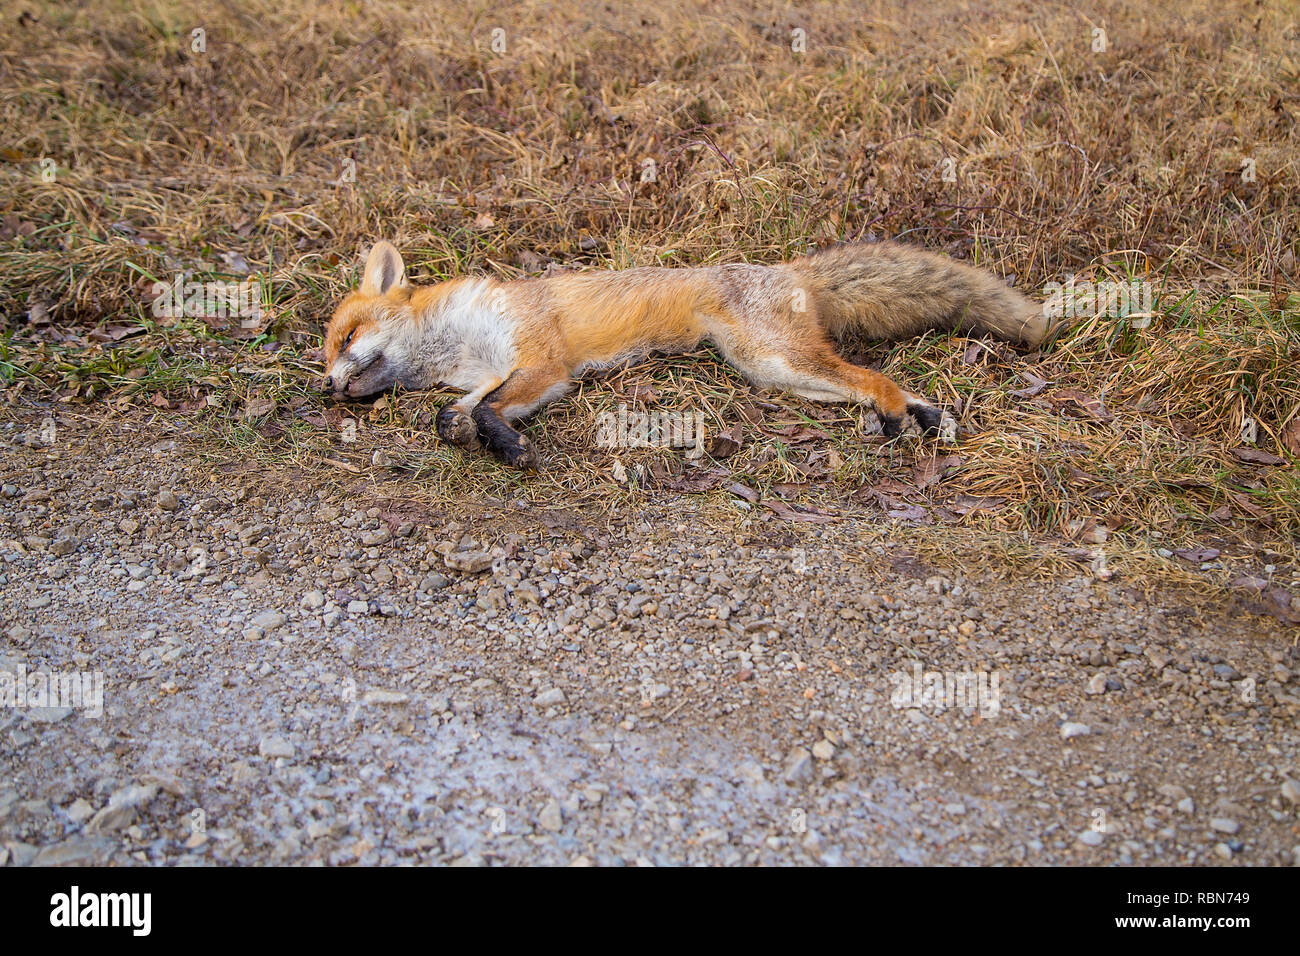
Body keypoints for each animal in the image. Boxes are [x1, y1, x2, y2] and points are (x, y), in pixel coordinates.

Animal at [325, 240, 1045, 468]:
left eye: (345, 340)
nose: (329, 388)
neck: (459, 340)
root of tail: (791, 270)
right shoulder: (502, 370)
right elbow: (458, 410)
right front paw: (462, 428)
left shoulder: (542, 359)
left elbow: (485, 410)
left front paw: (506, 446)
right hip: (773, 371)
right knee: (874, 382)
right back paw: (928, 416)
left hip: (778, 358)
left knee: (874, 377)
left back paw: (899, 414)